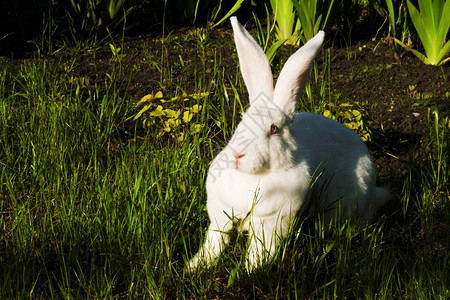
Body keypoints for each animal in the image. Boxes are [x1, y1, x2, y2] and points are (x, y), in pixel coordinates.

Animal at [187, 17, 390, 272]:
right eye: (242, 120)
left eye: (273, 129)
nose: (238, 155)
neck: (251, 177)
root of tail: (374, 192)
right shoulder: (220, 217)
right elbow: (215, 240)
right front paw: (196, 266)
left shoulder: (271, 224)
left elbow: (260, 248)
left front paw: (251, 270)